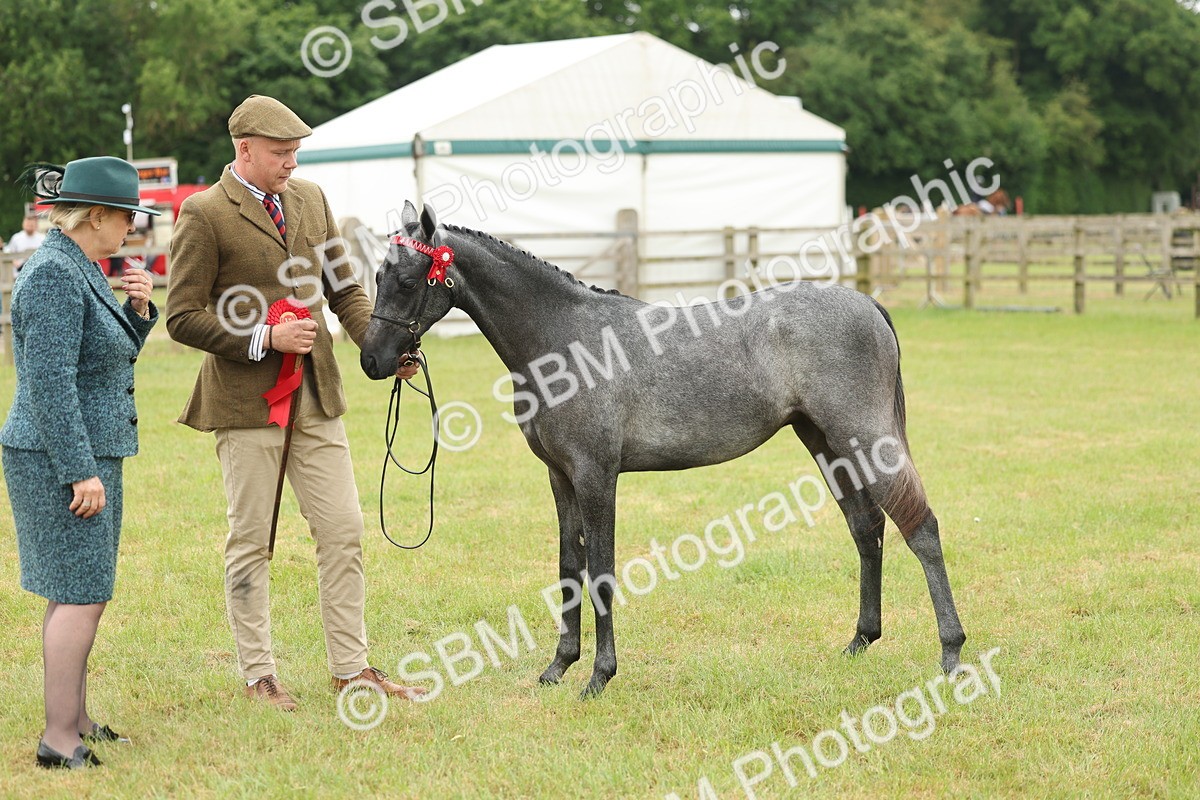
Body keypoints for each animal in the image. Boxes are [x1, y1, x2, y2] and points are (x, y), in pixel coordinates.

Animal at [360, 202, 966, 698]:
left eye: (409, 278)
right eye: (379, 274)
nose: (372, 360)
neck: (562, 340)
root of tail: (866, 301)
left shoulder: (596, 475)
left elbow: (601, 570)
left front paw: (598, 677)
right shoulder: (560, 477)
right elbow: (568, 566)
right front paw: (558, 667)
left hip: (865, 438)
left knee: (920, 528)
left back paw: (952, 654)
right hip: (825, 442)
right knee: (868, 529)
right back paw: (861, 641)